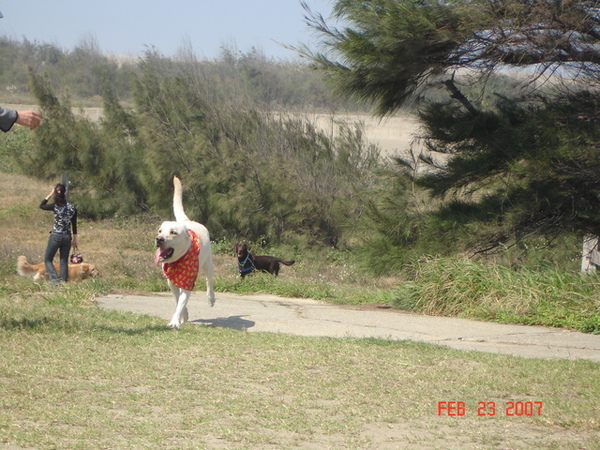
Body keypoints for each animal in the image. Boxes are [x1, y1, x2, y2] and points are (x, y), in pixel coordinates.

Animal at [155, 175, 216, 326]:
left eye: (173, 232)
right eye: (160, 231)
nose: (159, 239)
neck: (178, 260)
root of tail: (187, 221)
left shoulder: (188, 282)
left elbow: (181, 302)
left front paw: (175, 322)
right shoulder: (171, 282)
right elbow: (178, 300)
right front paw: (184, 315)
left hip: (208, 263)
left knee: (209, 281)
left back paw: (211, 298)